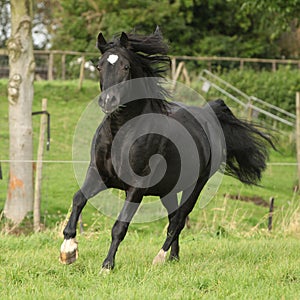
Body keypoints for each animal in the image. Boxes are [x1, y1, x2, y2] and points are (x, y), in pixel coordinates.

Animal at [59, 28, 274, 272]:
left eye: (125, 67)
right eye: (99, 66)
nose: (108, 101)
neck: (120, 132)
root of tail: (208, 115)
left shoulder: (137, 186)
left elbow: (120, 226)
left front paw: (107, 266)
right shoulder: (99, 174)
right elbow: (78, 199)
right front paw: (68, 251)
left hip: (195, 186)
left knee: (178, 220)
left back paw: (160, 258)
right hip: (167, 190)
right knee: (173, 218)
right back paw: (173, 257)